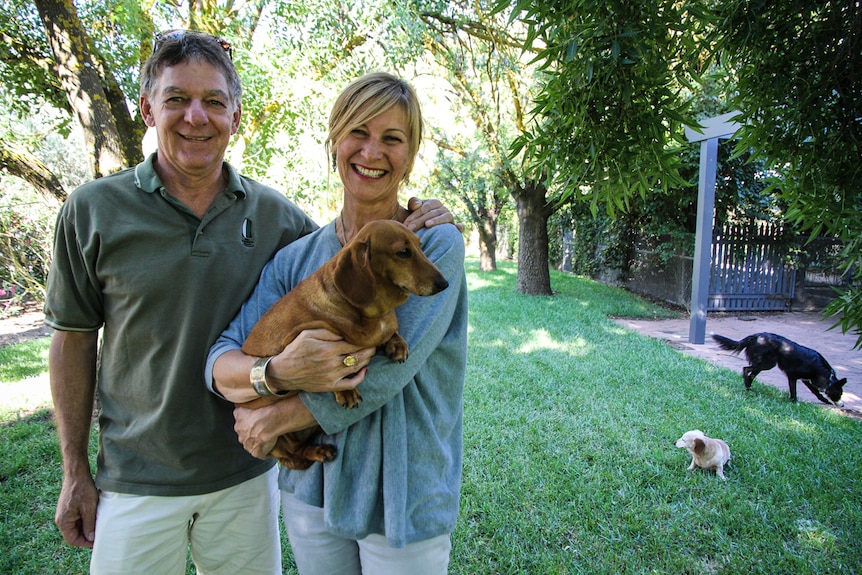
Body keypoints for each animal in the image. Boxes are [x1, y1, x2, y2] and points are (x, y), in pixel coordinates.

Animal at [712, 330, 848, 408]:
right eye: (839, 393)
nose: (842, 405)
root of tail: (755, 336)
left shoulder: (806, 379)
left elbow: (816, 392)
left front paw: (825, 401)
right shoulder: (792, 376)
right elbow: (794, 391)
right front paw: (795, 402)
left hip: (764, 364)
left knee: (750, 374)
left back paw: (749, 388)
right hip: (767, 363)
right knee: (746, 369)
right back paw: (747, 387)